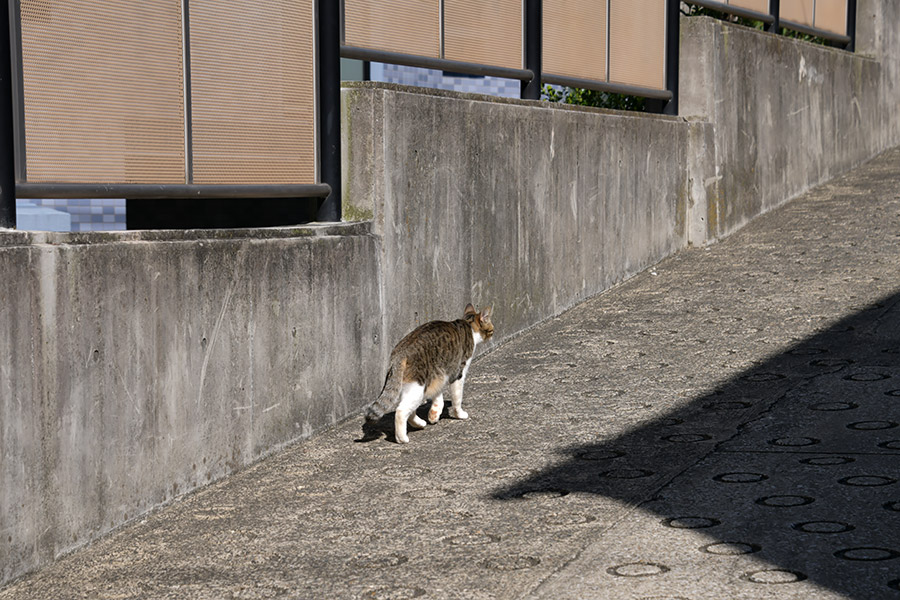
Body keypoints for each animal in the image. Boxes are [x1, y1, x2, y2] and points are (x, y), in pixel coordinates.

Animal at [364, 304, 492, 440]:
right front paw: (459, 414)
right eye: (491, 329)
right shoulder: (458, 373)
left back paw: (420, 424)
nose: (492, 335)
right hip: (418, 386)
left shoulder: (439, 374)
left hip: (412, 385)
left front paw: (434, 414)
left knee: (409, 410)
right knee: (401, 410)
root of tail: (399, 353)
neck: (469, 324)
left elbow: (438, 396)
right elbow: (457, 398)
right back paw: (402, 438)